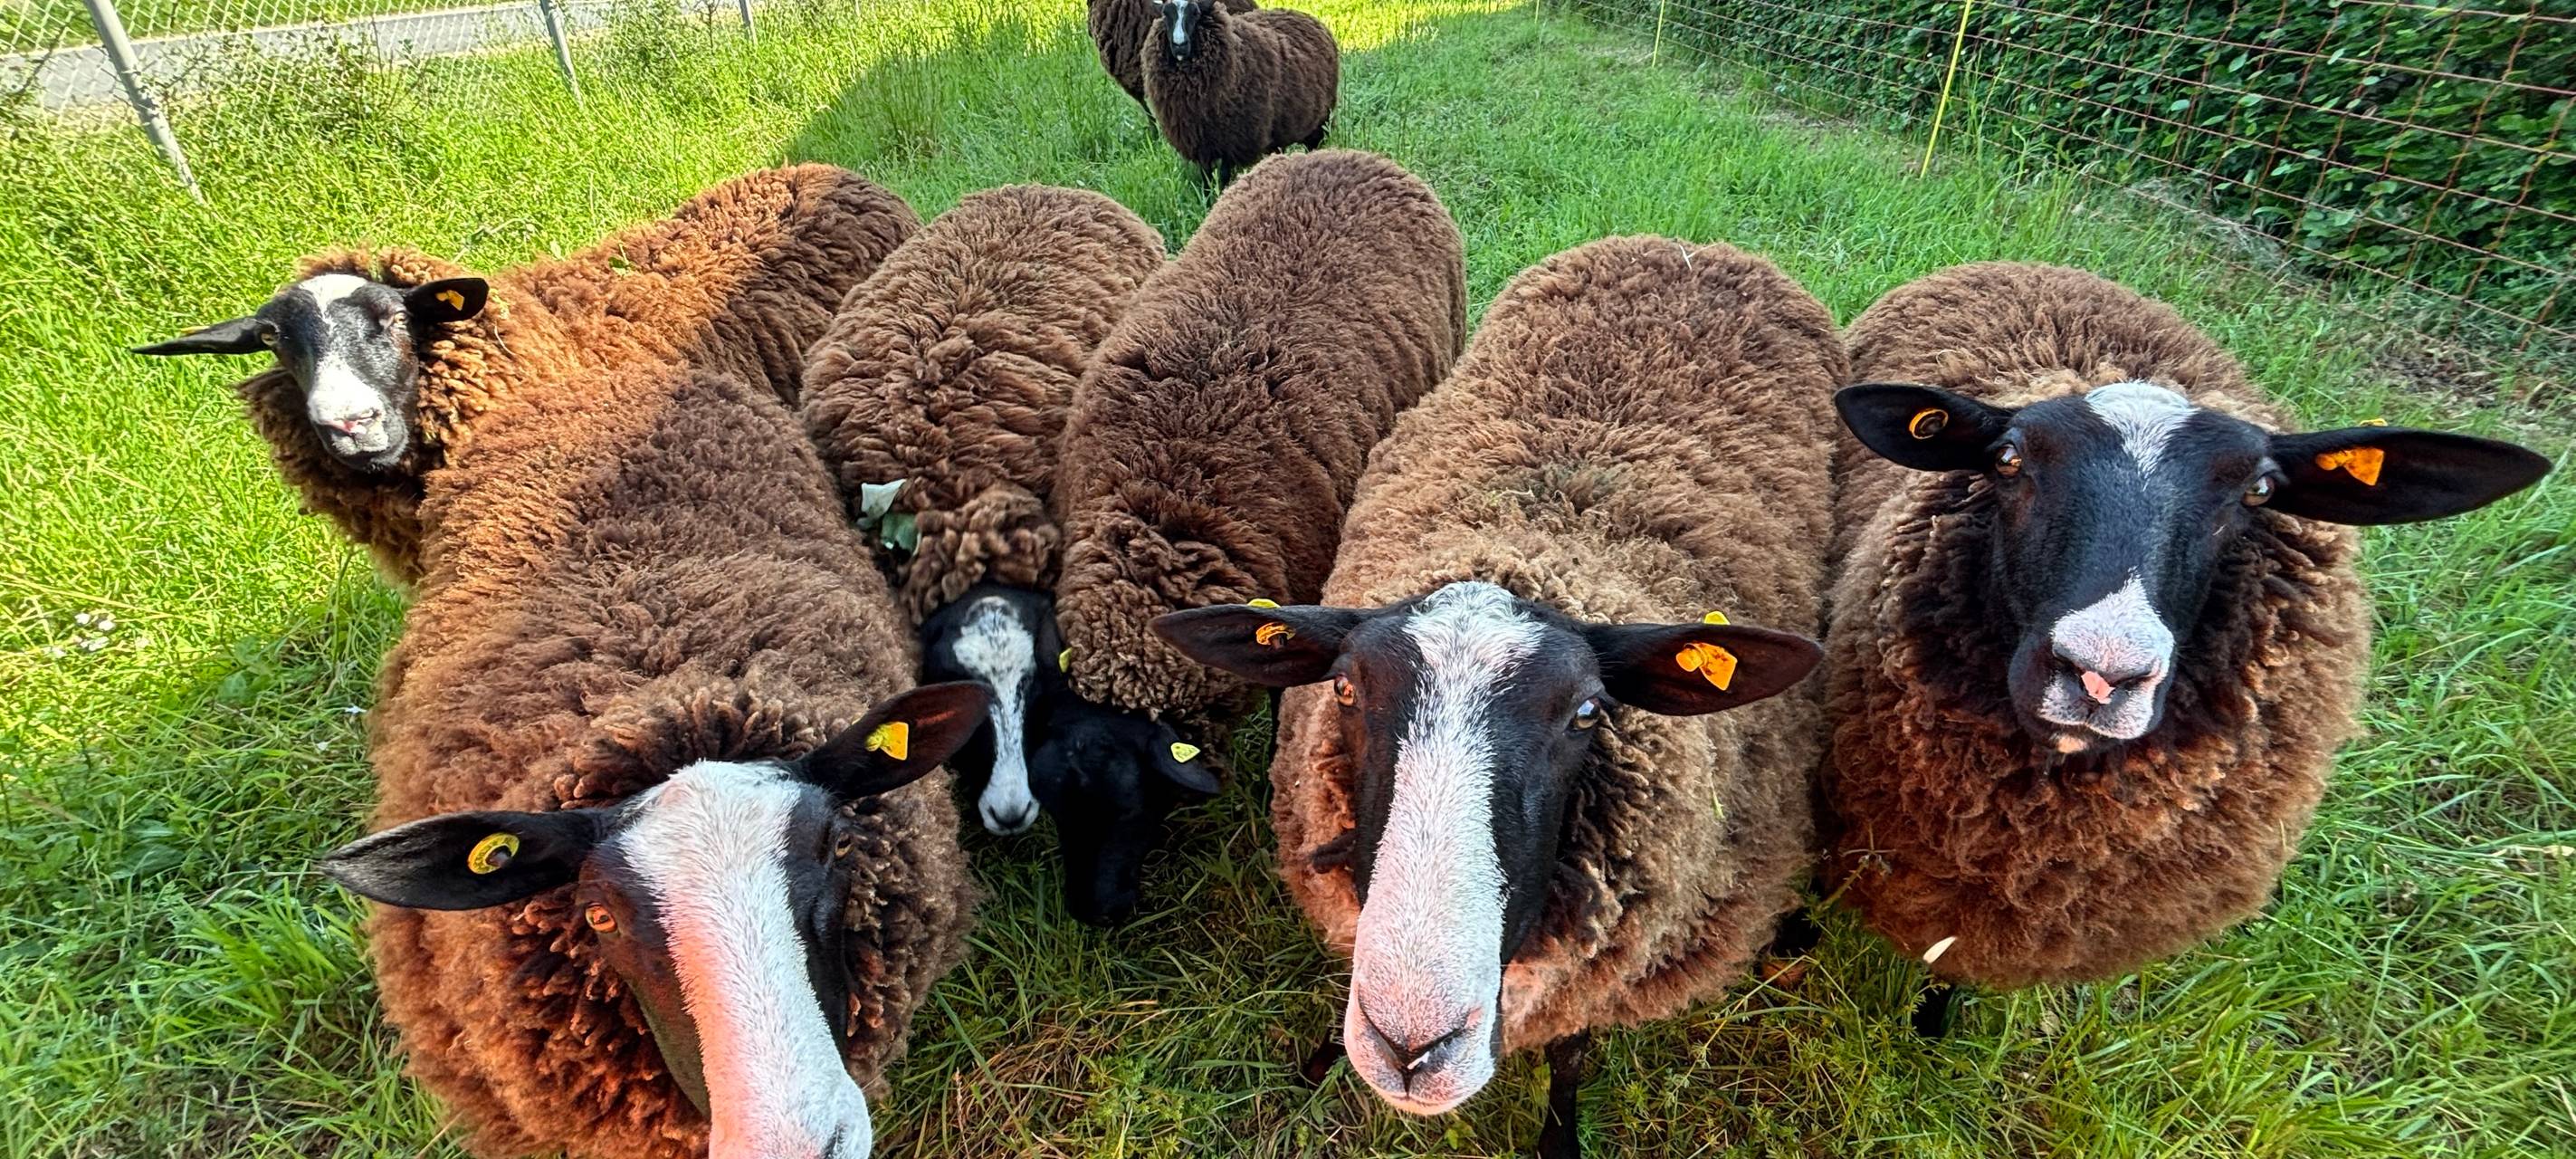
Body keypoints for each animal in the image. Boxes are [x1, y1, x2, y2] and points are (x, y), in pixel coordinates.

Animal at [1142, 0, 1337, 183]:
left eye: (1195, 13)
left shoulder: (1232, 140)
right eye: (1166, 14)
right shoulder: (1200, 141)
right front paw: (1207, 195)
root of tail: (1304, 16)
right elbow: (1206, 175)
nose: (1179, 45)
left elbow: (1223, 174)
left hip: (1321, 121)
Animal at [1155, 235, 1842, 1159]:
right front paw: (1322, 1060)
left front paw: (1559, 1140)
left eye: (1588, 712)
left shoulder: (1602, 972)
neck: (1537, 532)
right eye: (1345, 688)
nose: (1410, 1045)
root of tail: (1690, 245)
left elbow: (1573, 1056)